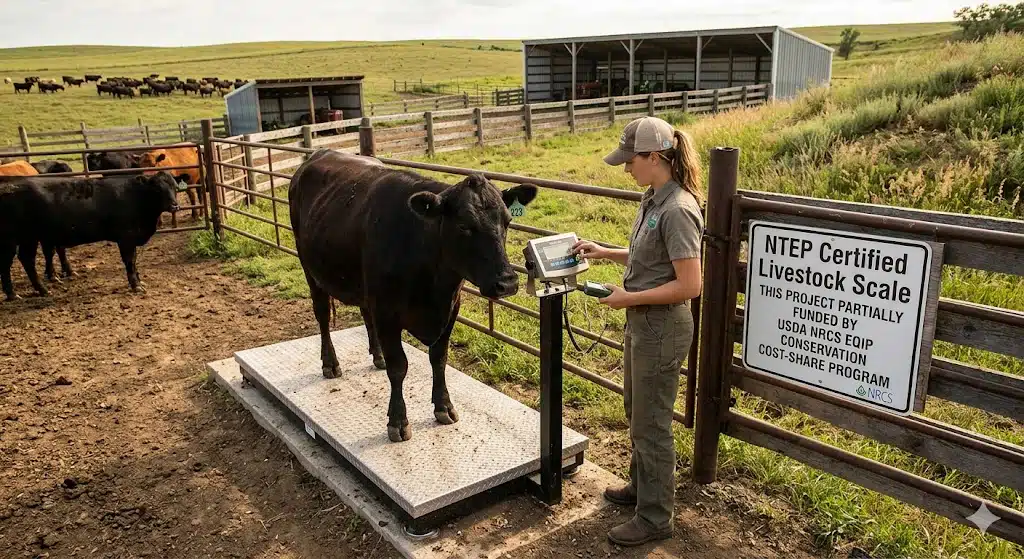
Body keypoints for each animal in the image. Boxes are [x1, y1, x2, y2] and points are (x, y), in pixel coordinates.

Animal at [0, 172, 181, 300]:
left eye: (175, 187)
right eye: (157, 189)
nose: (174, 206)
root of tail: (9, 187)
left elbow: (134, 261)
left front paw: (139, 280)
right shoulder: (126, 238)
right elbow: (130, 261)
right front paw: (136, 285)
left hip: (28, 238)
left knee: (25, 259)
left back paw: (37, 290)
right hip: (15, 238)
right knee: (12, 262)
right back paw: (18, 293)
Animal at [288, 149, 536, 442]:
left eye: (507, 221)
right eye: (464, 225)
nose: (507, 282)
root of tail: (318, 154)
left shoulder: (451, 308)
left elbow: (439, 358)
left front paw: (444, 406)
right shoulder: (387, 311)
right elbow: (399, 367)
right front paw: (397, 421)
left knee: (364, 313)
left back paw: (377, 355)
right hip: (309, 268)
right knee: (323, 315)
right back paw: (330, 363)